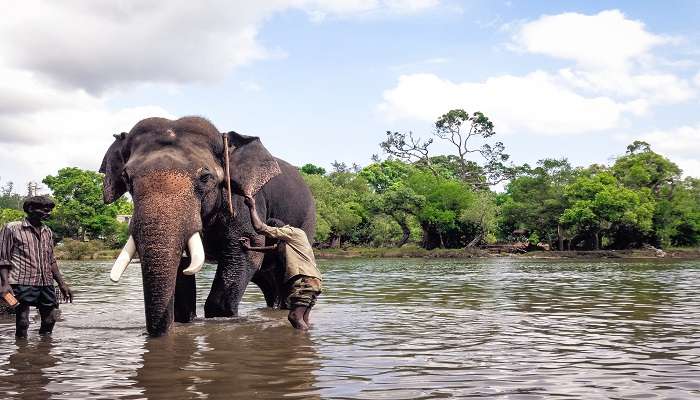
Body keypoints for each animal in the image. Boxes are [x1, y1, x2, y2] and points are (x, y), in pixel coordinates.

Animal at [100, 115, 316, 334]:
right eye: (126, 178)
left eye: (205, 177)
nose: (158, 333)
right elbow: (184, 265)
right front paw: (183, 318)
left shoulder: (238, 199)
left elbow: (245, 252)